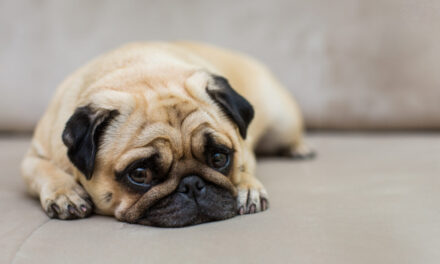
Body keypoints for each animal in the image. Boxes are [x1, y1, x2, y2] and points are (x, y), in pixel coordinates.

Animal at [20, 41, 312, 227]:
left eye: (219, 158)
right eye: (140, 174)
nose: (192, 184)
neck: (139, 71)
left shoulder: (244, 147)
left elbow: (245, 166)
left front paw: (247, 187)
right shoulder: (33, 157)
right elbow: (43, 170)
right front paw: (65, 193)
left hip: (283, 123)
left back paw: (301, 148)